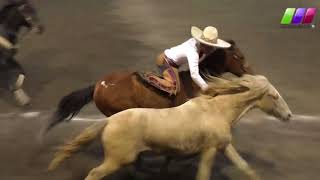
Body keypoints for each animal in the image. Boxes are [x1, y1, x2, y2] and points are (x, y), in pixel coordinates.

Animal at [48, 74, 292, 180]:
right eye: (274, 96)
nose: (289, 115)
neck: (217, 110)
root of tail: (109, 121)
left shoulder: (223, 146)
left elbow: (244, 167)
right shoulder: (210, 150)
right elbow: (203, 174)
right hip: (116, 160)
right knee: (94, 174)